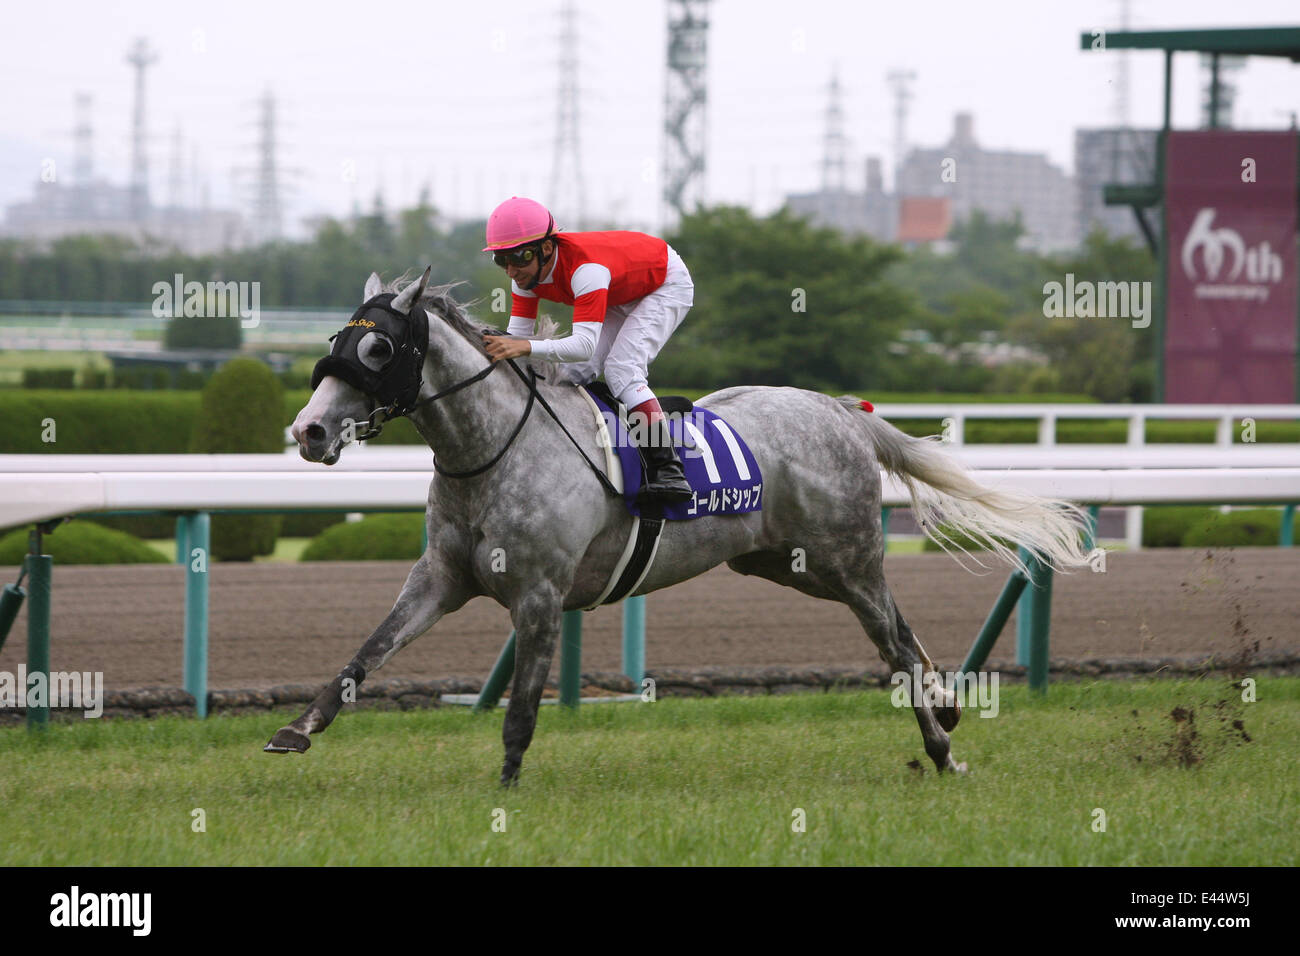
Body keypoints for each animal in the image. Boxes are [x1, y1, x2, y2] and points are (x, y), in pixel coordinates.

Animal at [266, 267, 1091, 784]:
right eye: (335, 343)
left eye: (377, 346)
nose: (308, 431)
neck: (491, 447)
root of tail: (840, 410)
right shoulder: (441, 577)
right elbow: (365, 653)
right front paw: (295, 730)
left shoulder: (540, 594)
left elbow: (523, 706)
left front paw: (505, 788)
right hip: (788, 563)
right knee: (901, 624)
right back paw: (948, 704)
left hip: (847, 557)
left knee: (889, 639)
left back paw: (942, 747)